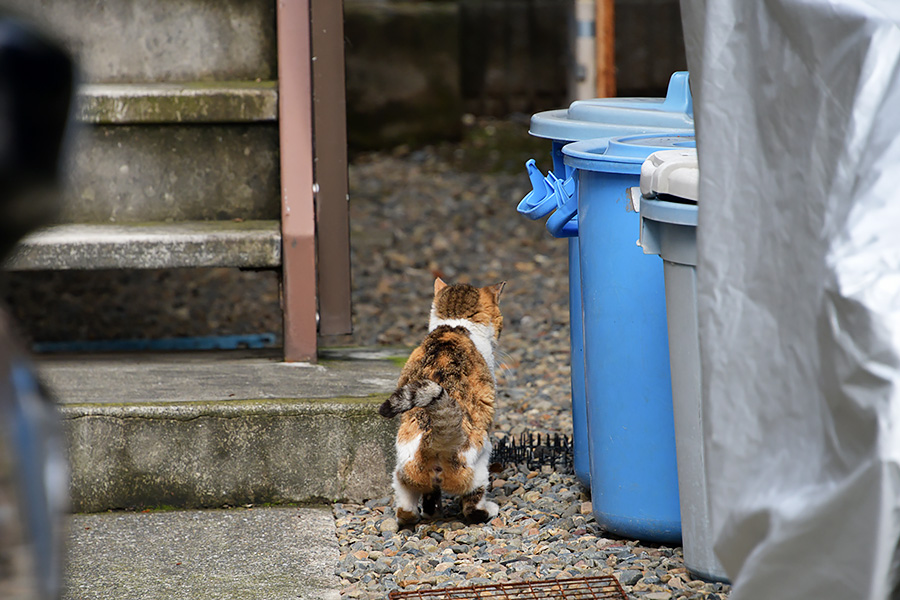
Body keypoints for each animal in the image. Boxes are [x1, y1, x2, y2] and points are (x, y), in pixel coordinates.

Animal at [378, 276, 506, 524]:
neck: (454, 325)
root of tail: (432, 440)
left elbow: (430, 495)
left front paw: (431, 509)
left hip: (401, 471)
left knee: (406, 508)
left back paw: (423, 514)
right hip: (482, 462)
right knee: (472, 508)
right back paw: (488, 509)